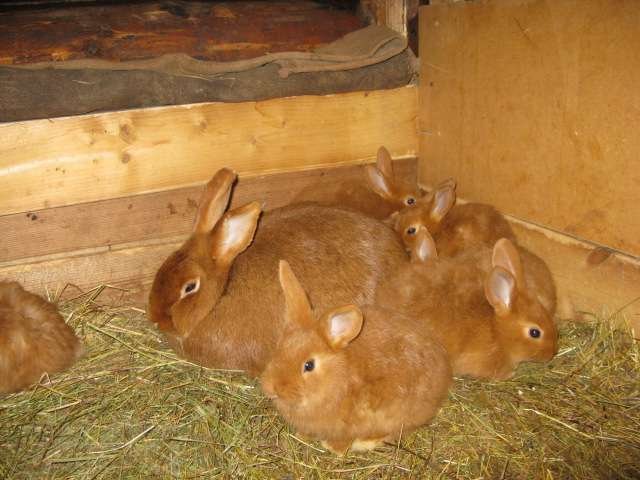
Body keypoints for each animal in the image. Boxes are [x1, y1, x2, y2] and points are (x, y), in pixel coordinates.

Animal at [258, 260, 450, 456]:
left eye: (309, 365)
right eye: (278, 348)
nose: (270, 388)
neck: (339, 378)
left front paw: (334, 448)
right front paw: (302, 436)